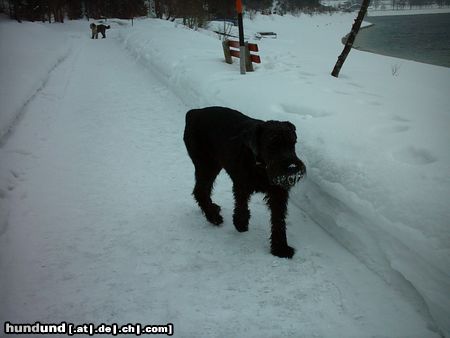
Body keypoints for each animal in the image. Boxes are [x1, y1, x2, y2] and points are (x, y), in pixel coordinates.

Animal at [183, 106, 306, 258]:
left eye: (293, 143)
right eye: (272, 144)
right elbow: (241, 203)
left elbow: (279, 220)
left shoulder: (278, 192)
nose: (292, 168)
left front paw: (280, 248)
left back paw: (213, 209)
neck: (260, 166)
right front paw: (240, 222)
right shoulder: (241, 184)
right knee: (200, 190)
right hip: (207, 165)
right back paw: (214, 216)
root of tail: (194, 112)